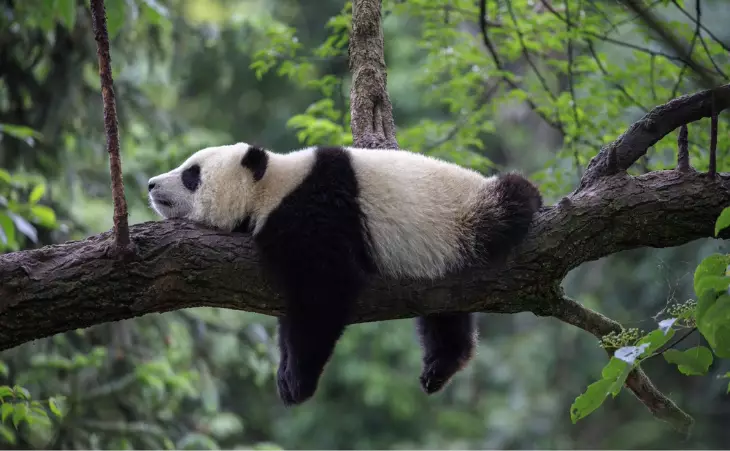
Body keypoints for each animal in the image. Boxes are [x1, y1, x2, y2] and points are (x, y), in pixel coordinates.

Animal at [147, 142, 542, 406]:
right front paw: (285, 374)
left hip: (467, 215)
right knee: (445, 315)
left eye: (191, 174)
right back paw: (440, 365)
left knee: (510, 200)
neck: (272, 186)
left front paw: (297, 382)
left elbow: (324, 293)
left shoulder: (317, 212)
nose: (151, 184)